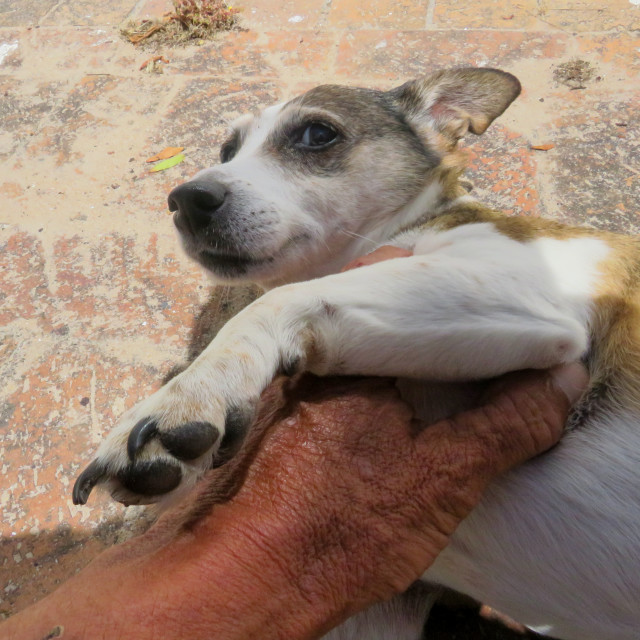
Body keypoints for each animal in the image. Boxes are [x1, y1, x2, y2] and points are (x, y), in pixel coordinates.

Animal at [71, 67, 640, 636]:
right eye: (228, 148)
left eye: (317, 134)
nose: (186, 199)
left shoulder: (528, 295)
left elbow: (271, 305)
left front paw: (188, 396)